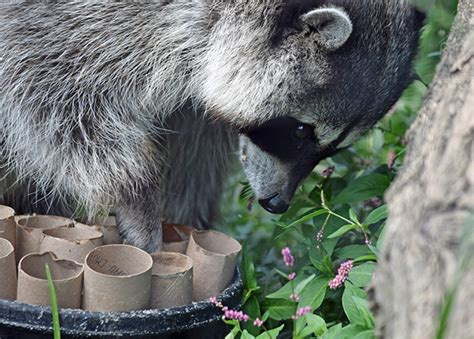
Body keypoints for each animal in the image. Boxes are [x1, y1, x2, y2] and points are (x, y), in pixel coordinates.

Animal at [0, 0, 422, 252]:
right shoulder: (69, 22)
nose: (276, 204)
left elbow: (194, 140)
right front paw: (134, 191)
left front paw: (186, 219)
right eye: (301, 131)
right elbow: (50, 96)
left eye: (333, 148)